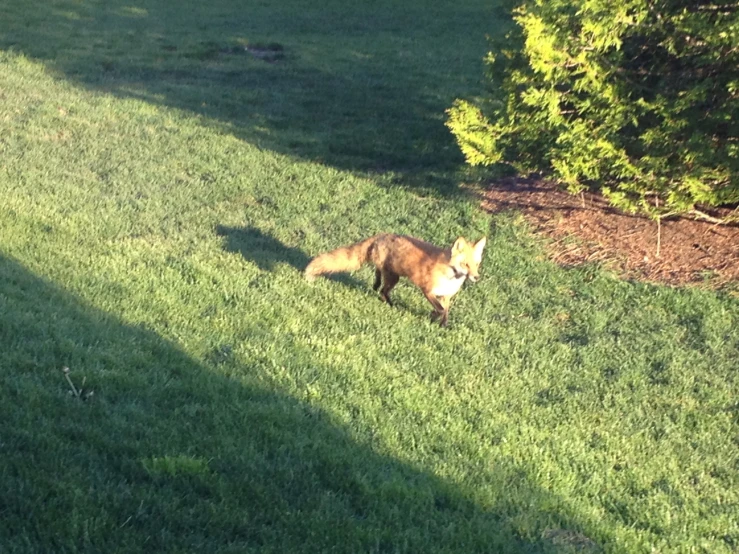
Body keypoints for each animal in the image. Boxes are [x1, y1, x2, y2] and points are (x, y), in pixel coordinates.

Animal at [304, 232, 486, 326]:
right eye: (465, 264)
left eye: (477, 264)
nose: (476, 277)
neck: (450, 276)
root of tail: (382, 234)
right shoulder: (427, 290)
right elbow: (440, 309)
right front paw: (433, 316)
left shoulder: (446, 296)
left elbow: (446, 312)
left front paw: (442, 325)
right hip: (393, 278)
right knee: (383, 289)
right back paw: (390, 303)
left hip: (392, 275)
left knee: (379, 279)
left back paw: (377, 286)